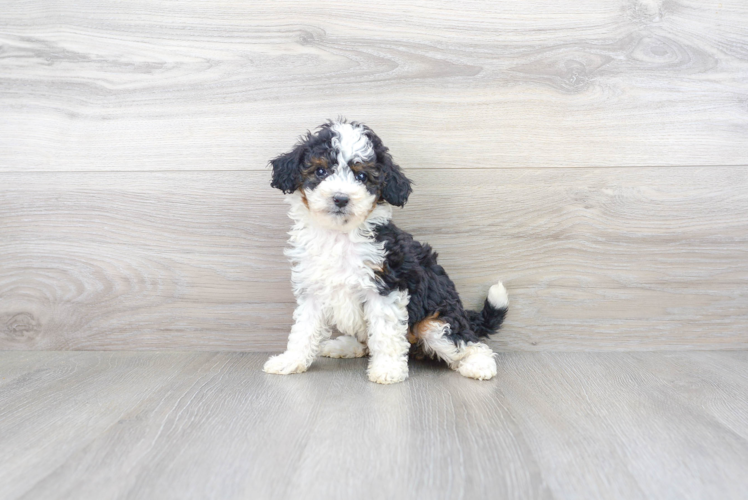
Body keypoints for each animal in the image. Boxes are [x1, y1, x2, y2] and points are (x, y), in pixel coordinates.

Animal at [262, 119, 508, 384]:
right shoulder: (313, 290)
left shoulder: (385, 287)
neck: (340, 235)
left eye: (361, 176)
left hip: (436, 324)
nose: (341, 199)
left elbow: (385, 333)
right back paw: (344, 346)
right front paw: (291, 360)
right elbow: (303, 329)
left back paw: (479, 365)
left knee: (469, 343)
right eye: (320, 171)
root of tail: (464, 313)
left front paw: (388, 369)